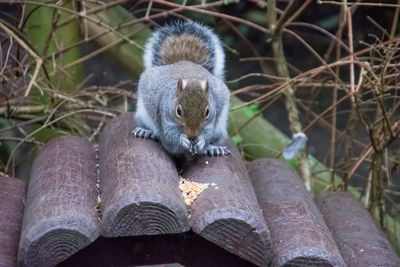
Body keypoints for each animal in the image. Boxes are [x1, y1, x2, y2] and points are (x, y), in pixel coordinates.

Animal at [133, 21, 230, 157]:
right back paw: (145, 131)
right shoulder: (163, 116)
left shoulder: (212, 118)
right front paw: (182, 139)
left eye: (207, 112)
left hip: (219, 128)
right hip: (143, 114)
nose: (192, 135)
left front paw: (202, 141)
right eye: (178, 111)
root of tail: (184, 61)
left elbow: (207, 134)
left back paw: (213, 148)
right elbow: (170, 137)